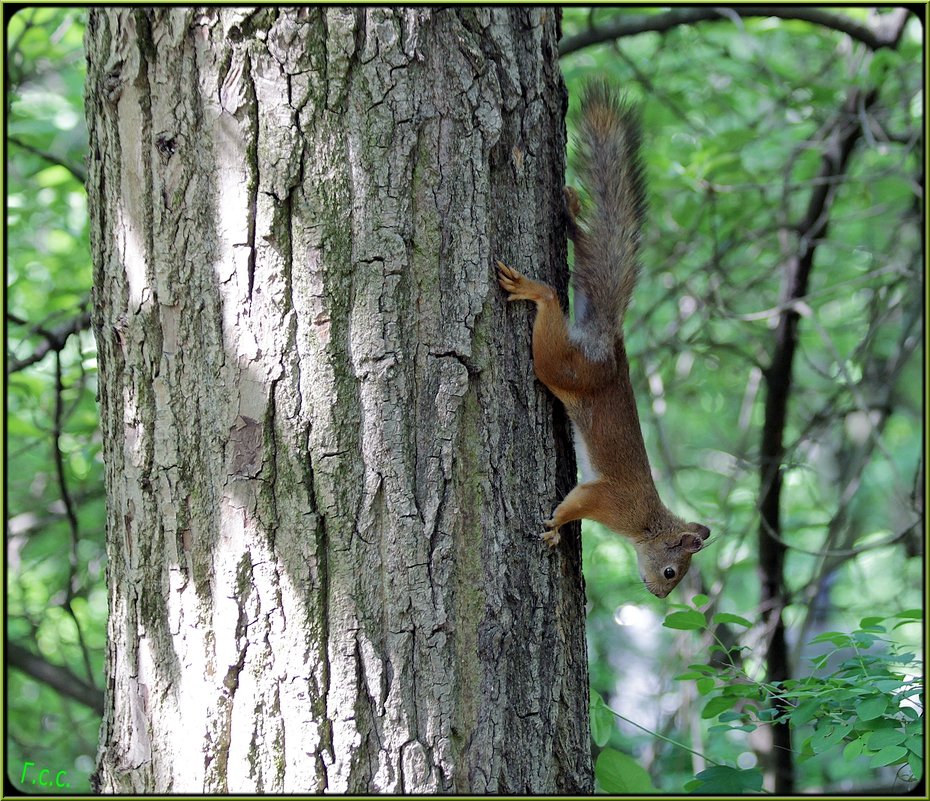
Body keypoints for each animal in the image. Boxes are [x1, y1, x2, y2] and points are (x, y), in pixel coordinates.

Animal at [496, 84, 708, 596]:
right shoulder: (607, 500)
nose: (657, 594)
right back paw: (537, 288)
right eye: (671, 572)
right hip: (565, 368)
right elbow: (576, 504)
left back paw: (571, 210)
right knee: (552, 312)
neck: (647, 524)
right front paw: (555, 526)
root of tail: (607, 342)